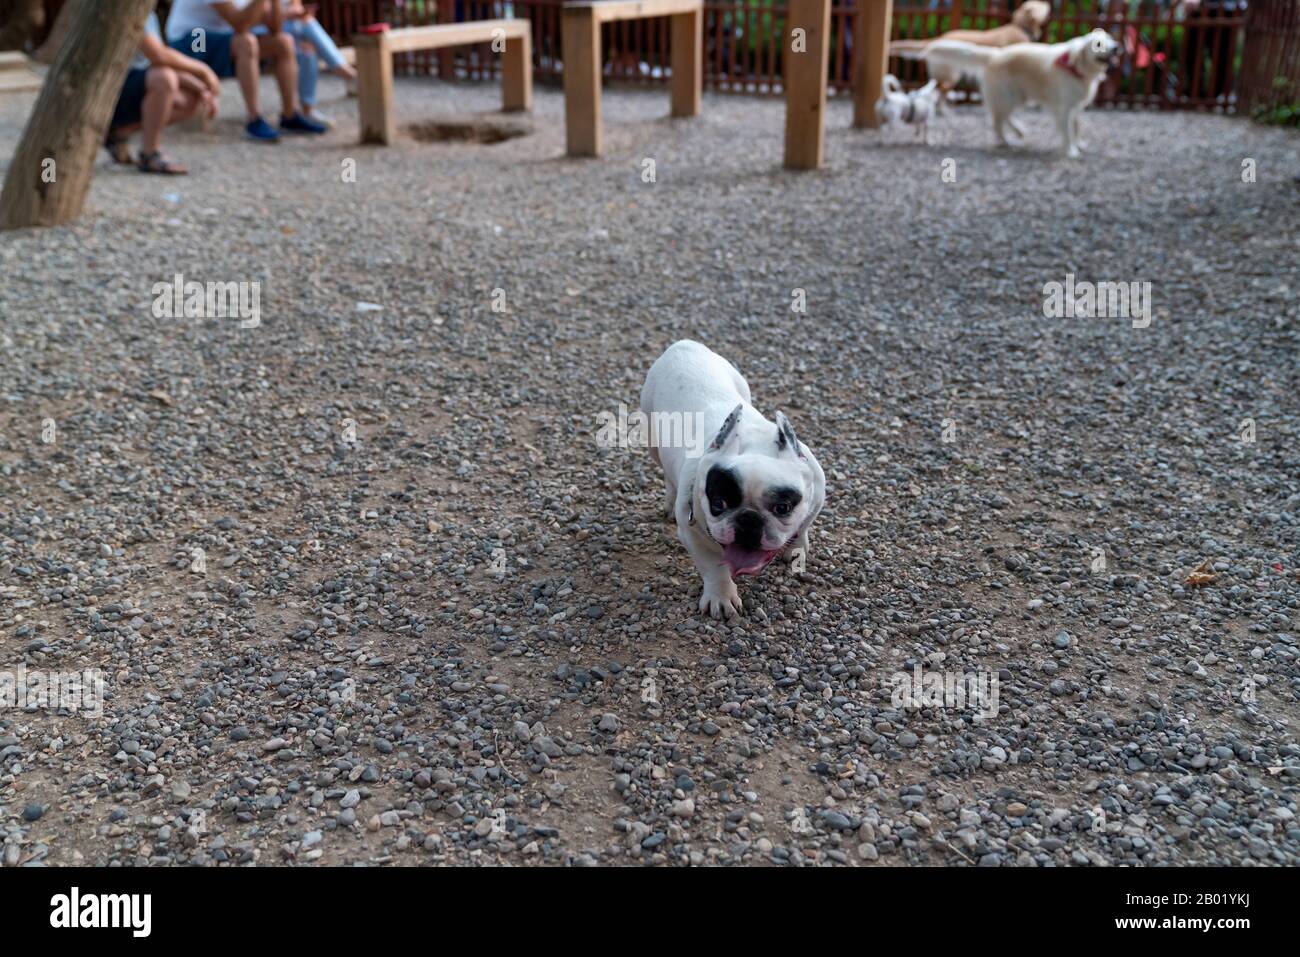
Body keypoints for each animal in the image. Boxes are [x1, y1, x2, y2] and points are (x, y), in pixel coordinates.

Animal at [639, 343, 821, 621]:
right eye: (718, 503)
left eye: (783, 507)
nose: (748, 519)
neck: (753, 442)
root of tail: (685, 344)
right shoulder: (692, 534)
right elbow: (714, 568)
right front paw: (721, 597)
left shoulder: (818, 494)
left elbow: (803, 526)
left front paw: (796, 548)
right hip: (652, 439)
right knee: (667, 474)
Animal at [915, 27, 1118, 157]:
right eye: (1098, 44)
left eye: (1110, 38)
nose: (1117, 47)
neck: (1078, 68)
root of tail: (994, 54)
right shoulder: (1064, 108)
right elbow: (1067, 131)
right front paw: (1071, 151)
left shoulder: (1075, 107)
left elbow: (1077, 127)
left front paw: (1079, 144)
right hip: (1007, 96)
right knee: (997, 122)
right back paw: (1005, 141)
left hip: (1017, 97)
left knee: (1004, 118)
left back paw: (1018, 132)